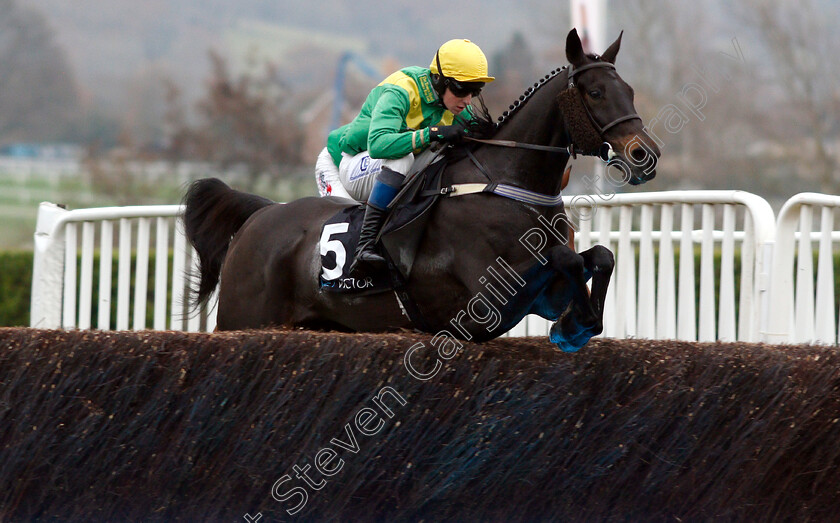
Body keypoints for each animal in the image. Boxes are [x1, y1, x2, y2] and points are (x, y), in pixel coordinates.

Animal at [184, 29, 664, 356]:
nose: (645, 154)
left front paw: (577, 324)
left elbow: (599, 256)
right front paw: (575, 324)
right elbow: (566, 258)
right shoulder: (487, 297)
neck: (508, 182)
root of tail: (260, 215)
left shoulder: (540, 294)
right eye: (596, 92)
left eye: (629, 90)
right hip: (244, 318)